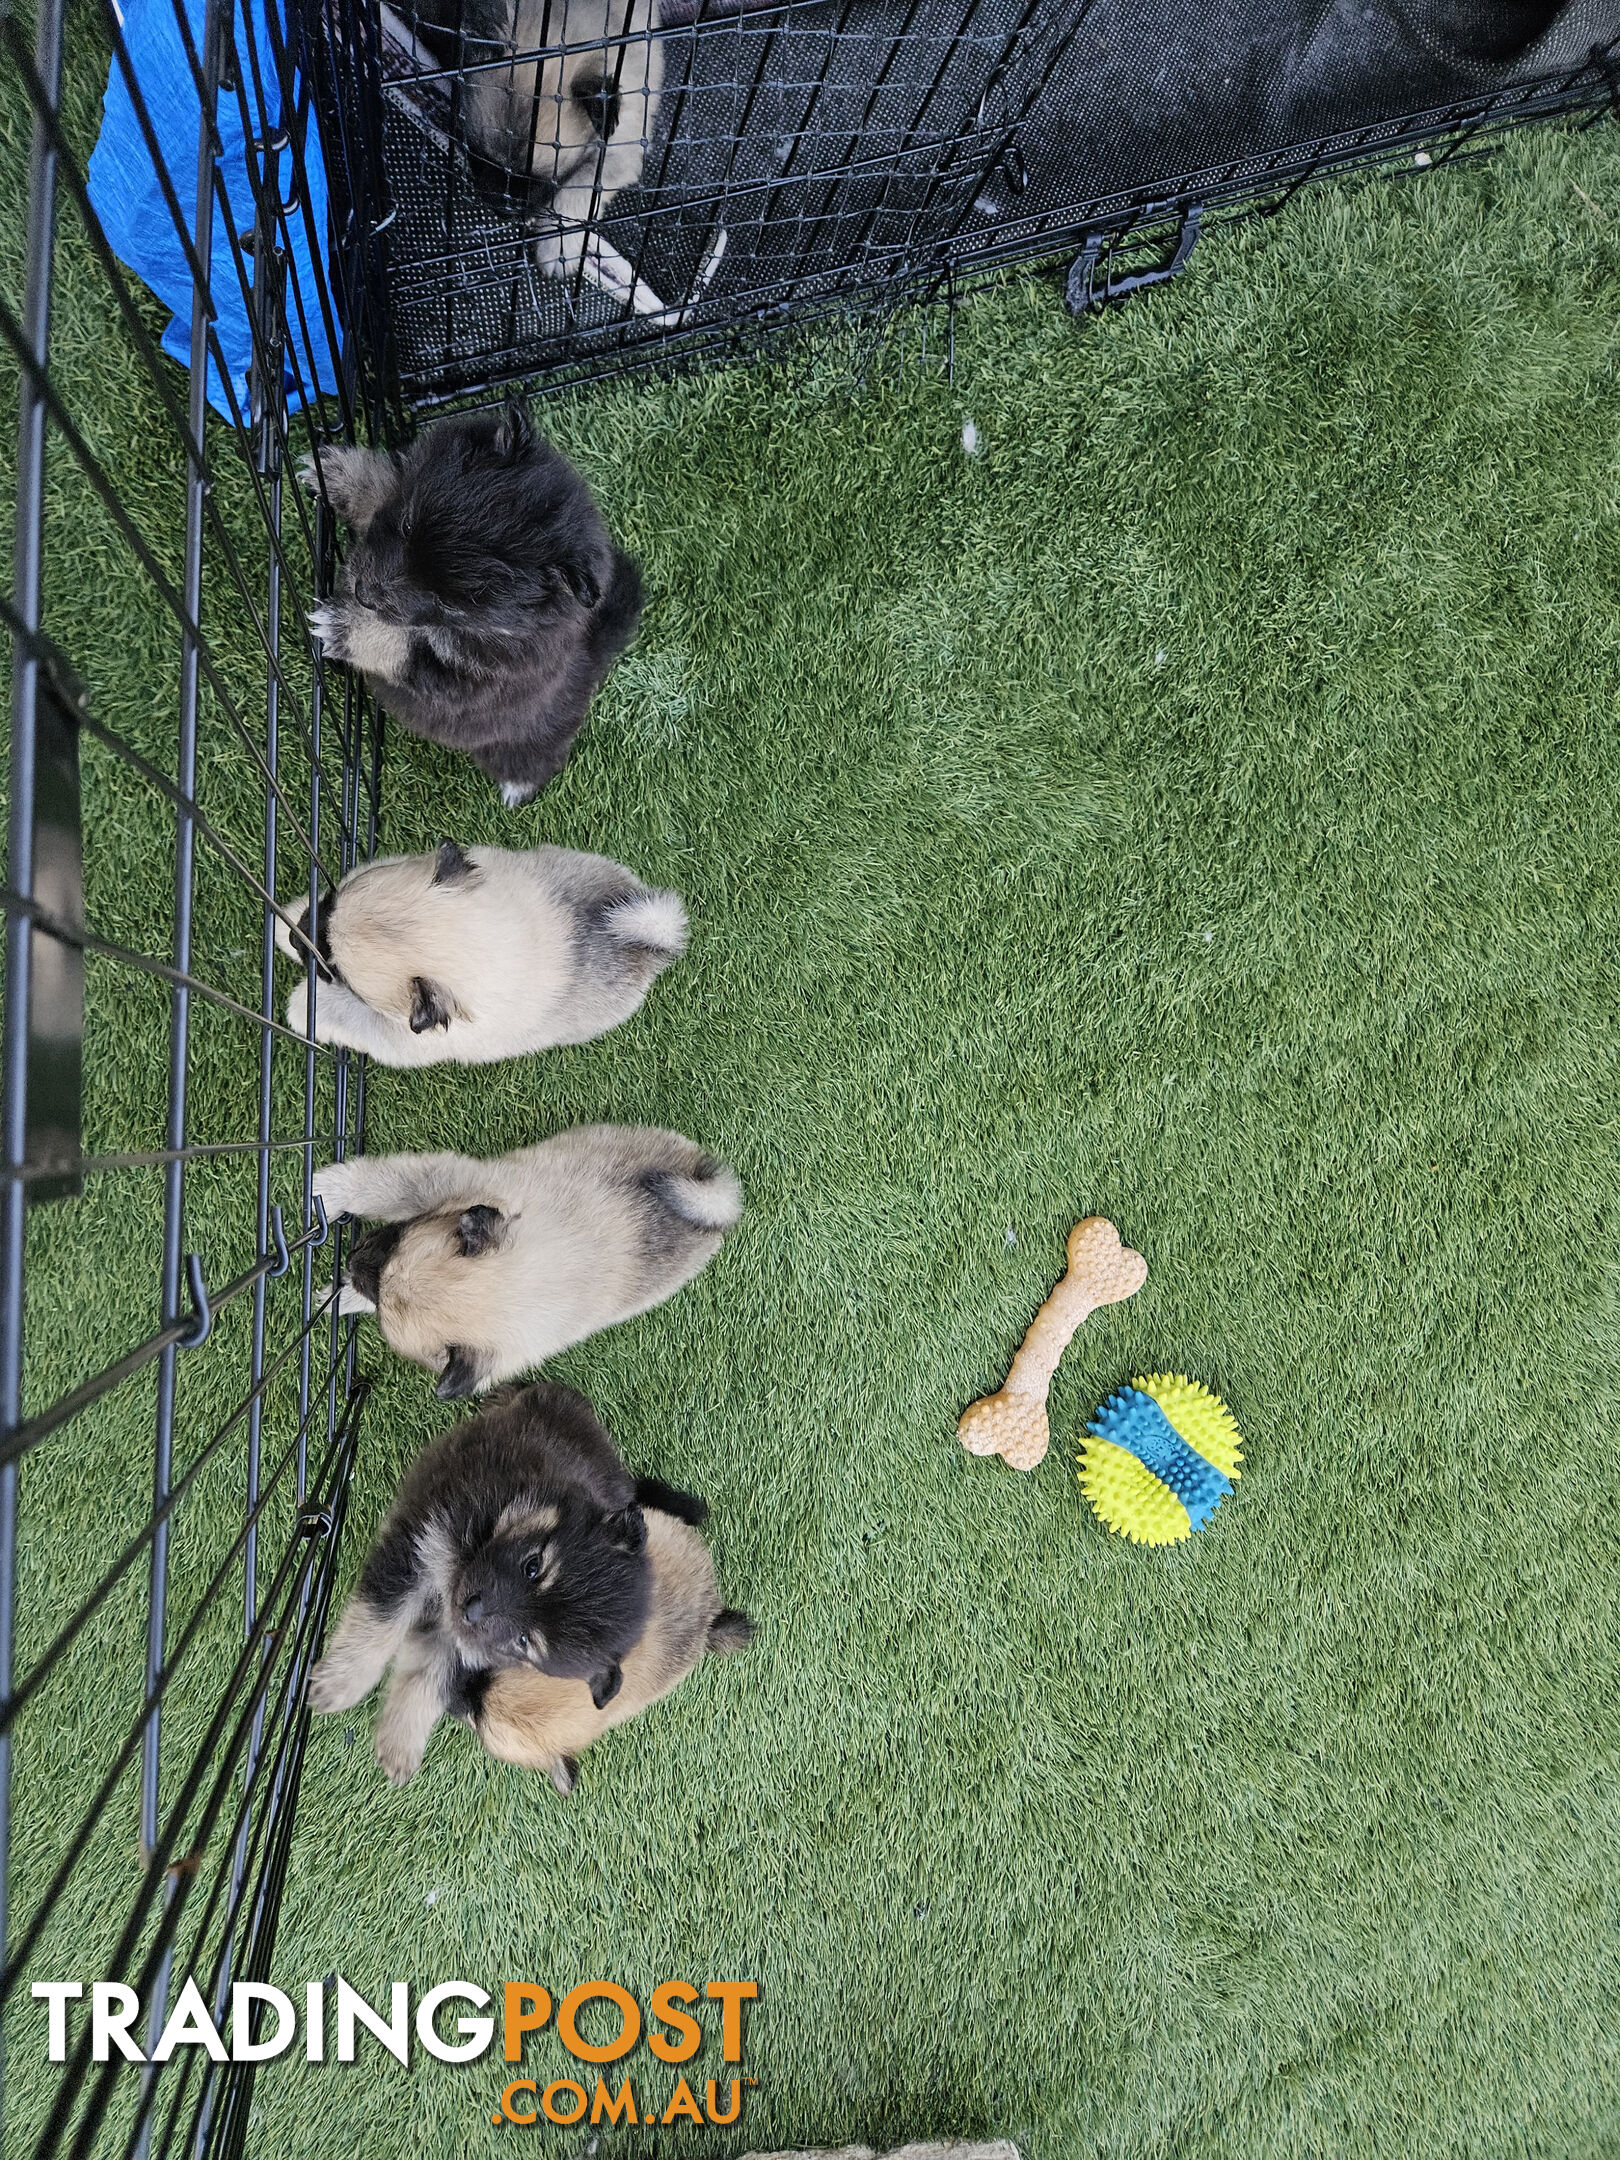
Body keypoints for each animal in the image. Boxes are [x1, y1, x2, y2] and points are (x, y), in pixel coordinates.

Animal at [302, 397, 639, 803]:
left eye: (450, 603)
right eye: (408, 526)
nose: (362, 592)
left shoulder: (468, 683)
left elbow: (402, 647)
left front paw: (344, 627)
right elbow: (386, 485)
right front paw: (337, 473)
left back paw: (519, 784)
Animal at [311, 1382, 699, 1788]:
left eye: (524, 1641)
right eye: (533, 1566)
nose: (472, 1609)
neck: (503, 1515)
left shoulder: (461, 1638)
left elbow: (427, 1677)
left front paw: (399, 1742)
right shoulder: (421, 1543)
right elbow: (381, 1620)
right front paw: (339, 1684)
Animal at [313, 1131, 747, 1399]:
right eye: (392, 1242)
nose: (351, 1259)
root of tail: (716, 1212)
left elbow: (384, 1186)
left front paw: (329, 1193)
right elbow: (386, 1188)